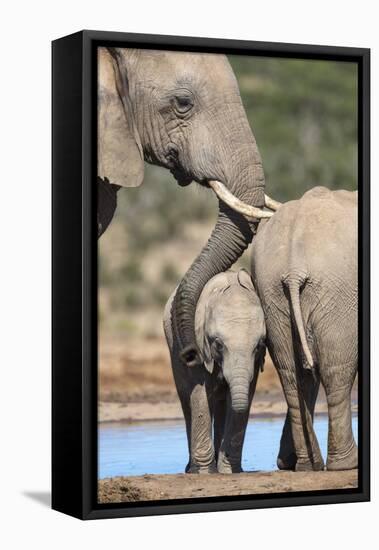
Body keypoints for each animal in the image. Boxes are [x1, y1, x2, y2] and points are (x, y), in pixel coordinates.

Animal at [164, 270, 268, 476]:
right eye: (218, 344)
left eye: (259, 345)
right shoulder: (199, 344)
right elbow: (200, 395)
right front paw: (205, 471)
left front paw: (229, 470)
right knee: (187, 400)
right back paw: (191, 469)